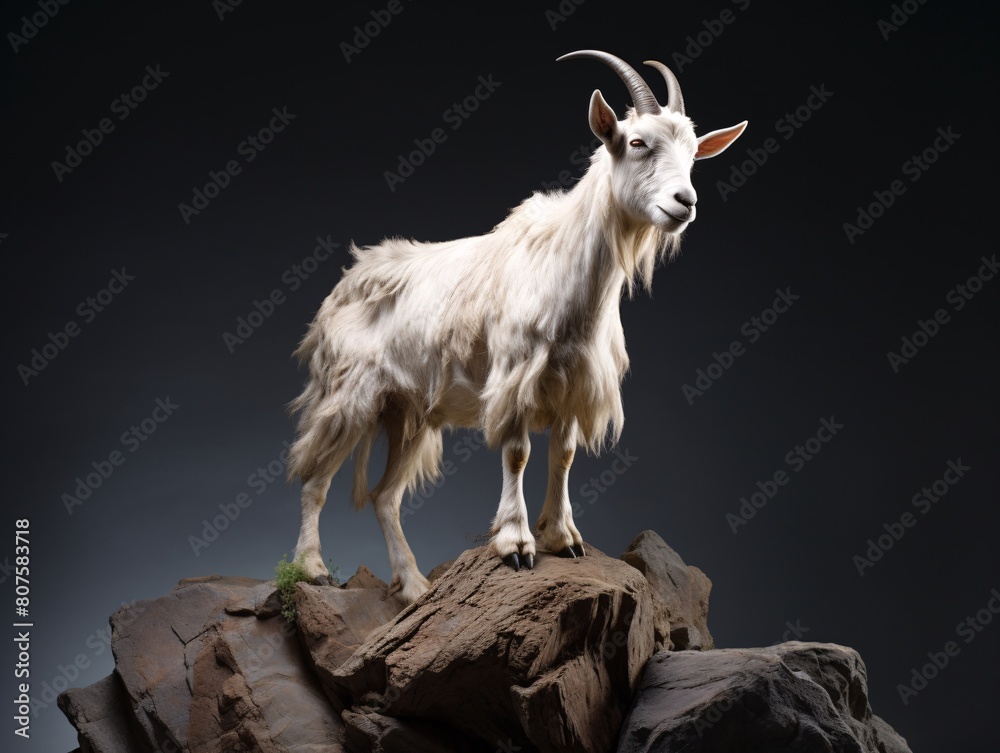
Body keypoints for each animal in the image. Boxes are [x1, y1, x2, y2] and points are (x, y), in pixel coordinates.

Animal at [287, 50, 747, 604]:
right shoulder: (514, 379)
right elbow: (518, 453)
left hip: (409, 410)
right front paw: (517, 544)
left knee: (384, 496)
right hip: (349, 393)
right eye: (637, 143)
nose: (685, 202)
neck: (563, 273)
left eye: (694, 154)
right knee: (315, 478)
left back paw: (414, 586)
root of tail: (341, 289)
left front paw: (564, 538)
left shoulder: (572, 387)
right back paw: (312, 569)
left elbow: (563, 455)